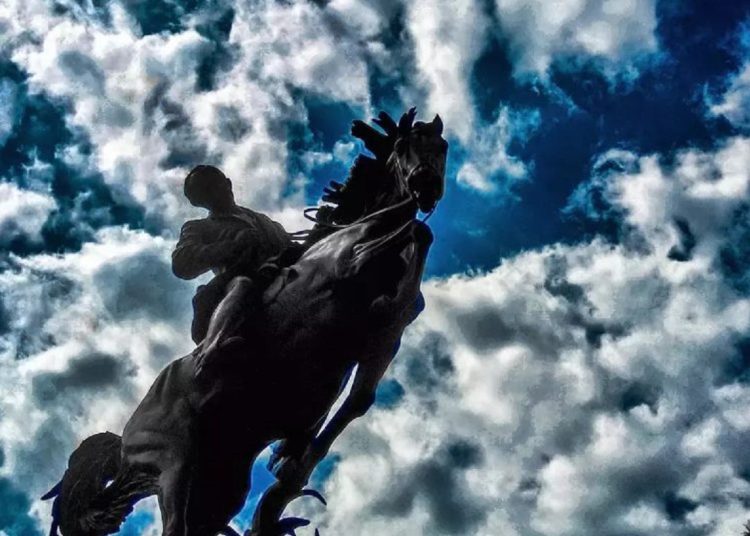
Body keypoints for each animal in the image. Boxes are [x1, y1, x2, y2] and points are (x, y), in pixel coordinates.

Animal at [45, 110, 446, 536]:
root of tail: (123, 442)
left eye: (441, 147)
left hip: (220, 484)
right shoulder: (339, 272)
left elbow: (358, 399)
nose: (426, 186)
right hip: (175, 460)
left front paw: (293, 459)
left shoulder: (381, 340)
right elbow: (408, 231)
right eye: (403, 145)